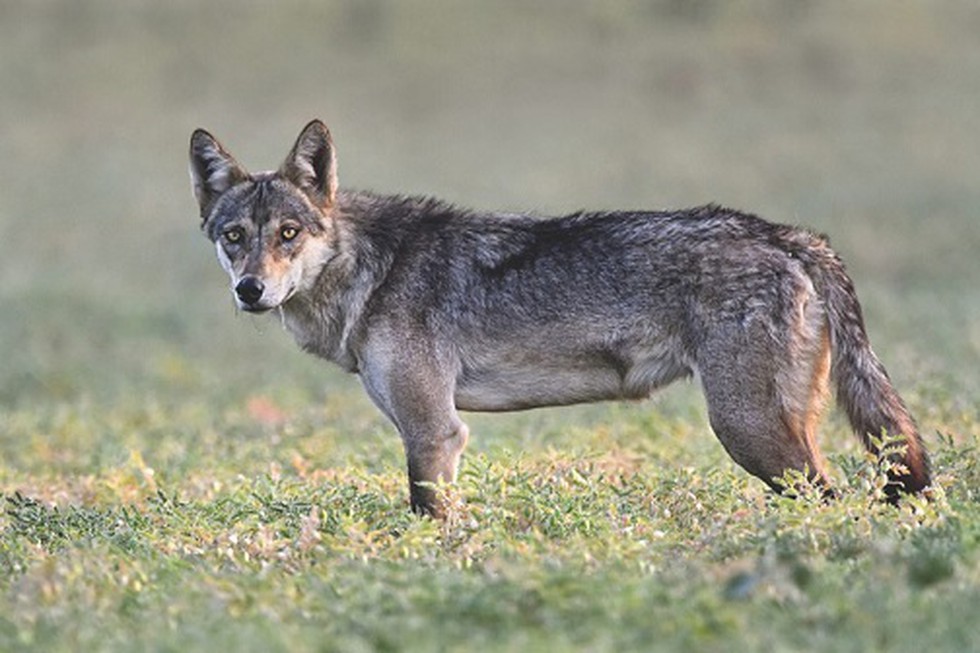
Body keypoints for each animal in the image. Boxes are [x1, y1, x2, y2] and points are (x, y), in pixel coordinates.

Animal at [188, 119, 932, 516]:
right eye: (234, 237)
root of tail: (788, 234)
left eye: (288, 234)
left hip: (749, 434)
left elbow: (429, 524)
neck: (374, 269)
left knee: (834, 504)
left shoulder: (434, 433)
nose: (251, 289)